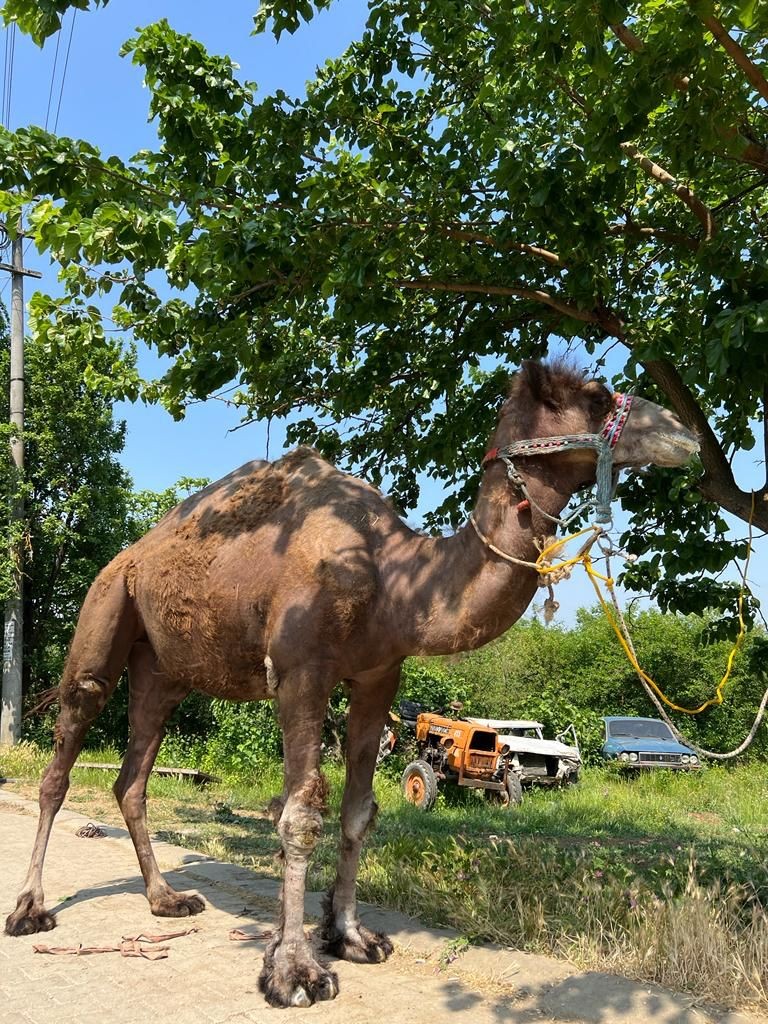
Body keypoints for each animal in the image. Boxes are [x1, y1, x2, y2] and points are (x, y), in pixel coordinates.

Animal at [4, 362, 696, 1007]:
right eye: (599, 398)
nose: (685, 432)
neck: (393, 579)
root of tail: (130, 555)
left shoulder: (377, 677)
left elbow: (360, 810)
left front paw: (350, 936)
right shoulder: (300, 673)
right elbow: (299, 811)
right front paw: (293, 972)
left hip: (162, 671)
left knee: (131, 778)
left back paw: (167, 898)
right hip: (104, 615)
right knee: (63, 757)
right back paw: (31, 908)